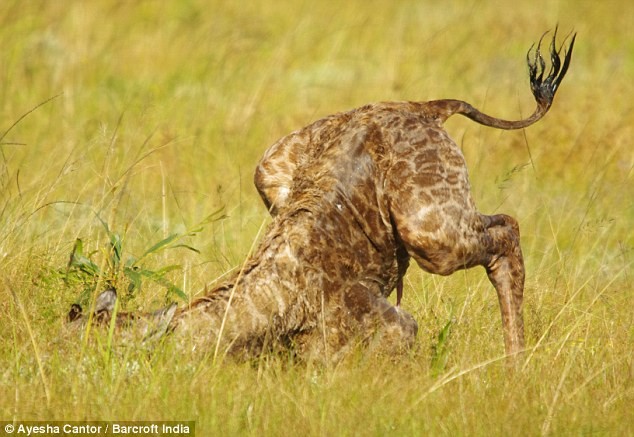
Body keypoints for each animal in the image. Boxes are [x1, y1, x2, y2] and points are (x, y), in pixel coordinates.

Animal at [69, 30, 572, 362]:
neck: (275, 296)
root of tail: (421, 107)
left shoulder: (393, 324)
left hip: (430, 233)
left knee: (507, 230)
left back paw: (515, 367)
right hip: (268, 170)